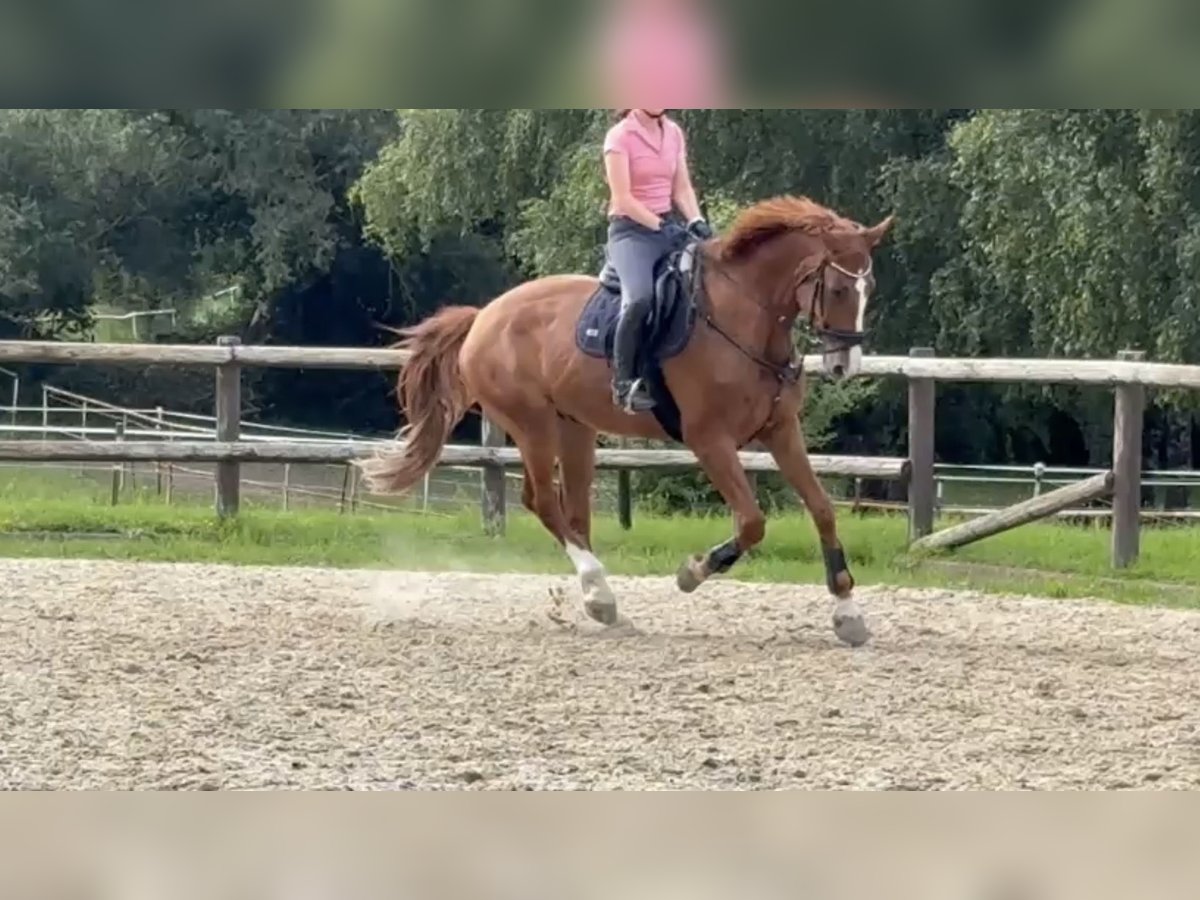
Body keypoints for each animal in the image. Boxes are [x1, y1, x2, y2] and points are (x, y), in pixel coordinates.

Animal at [358, 195, 894, 647]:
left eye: (870, 286)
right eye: (840, 287)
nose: (844, 365)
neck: (746, 320)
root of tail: (484, 316)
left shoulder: (782, 431)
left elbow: (822, 508)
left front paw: (847, 612)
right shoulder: (710, 440)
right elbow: (752, 521)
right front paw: (693, 571)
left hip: (575, 427)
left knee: (573, 513)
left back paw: (600, 602)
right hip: (532, 425)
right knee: (543, 502)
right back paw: (599, 595)